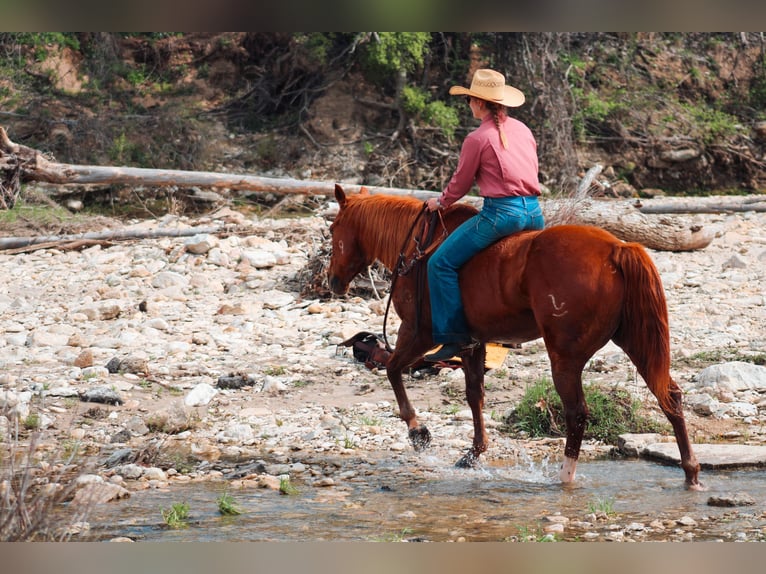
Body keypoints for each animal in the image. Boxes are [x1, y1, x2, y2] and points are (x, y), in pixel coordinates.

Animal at [328, 184, 704, 490]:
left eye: (333, 228)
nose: (332, 281)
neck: (419, 249)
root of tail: (617, 248)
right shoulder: (472, 344)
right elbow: (474, 396)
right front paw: (473, 453)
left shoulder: (417, 334)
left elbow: (393, 371)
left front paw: (418, 433)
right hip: (637, 342)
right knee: (670, 397)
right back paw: (691, 472)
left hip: (565, 357)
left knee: (577, 413)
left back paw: (565, 477)